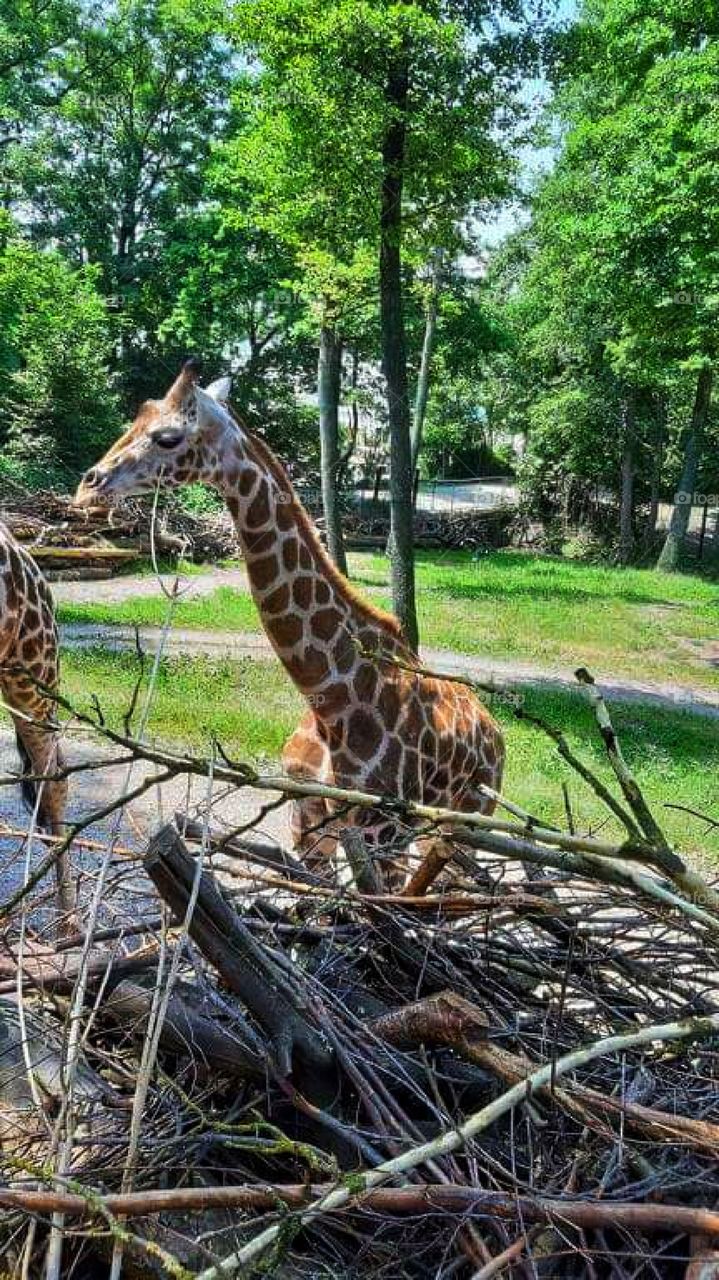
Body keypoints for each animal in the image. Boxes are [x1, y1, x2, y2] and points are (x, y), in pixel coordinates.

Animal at [74, 360, 505, 887]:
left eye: (168, 437)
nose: (89, 484)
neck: (329, 699)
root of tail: (497, 735)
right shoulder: (307, 815)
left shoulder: (380, 826)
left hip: (463, 821)